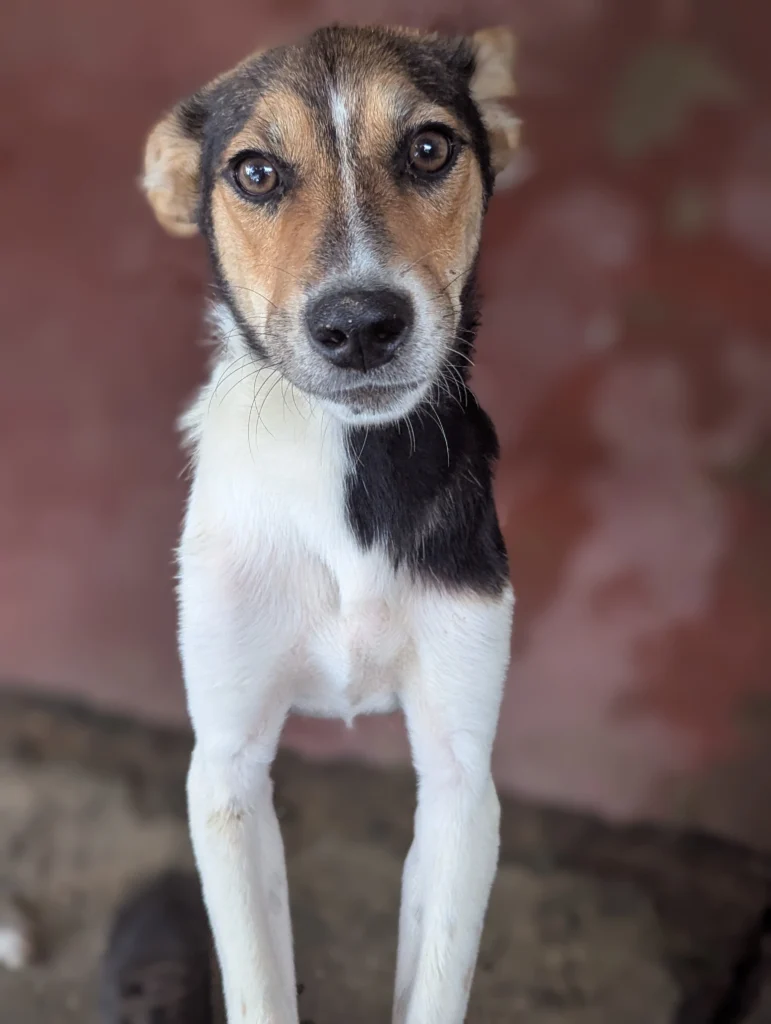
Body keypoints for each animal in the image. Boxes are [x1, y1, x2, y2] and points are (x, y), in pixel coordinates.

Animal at [143, 23, 518, 1024]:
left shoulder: (462, 783)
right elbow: (260, 984)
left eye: (428, 148)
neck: (344, 465)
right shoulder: (226, 769)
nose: (359, 325)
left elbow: (435, 982)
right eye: (256, 173)